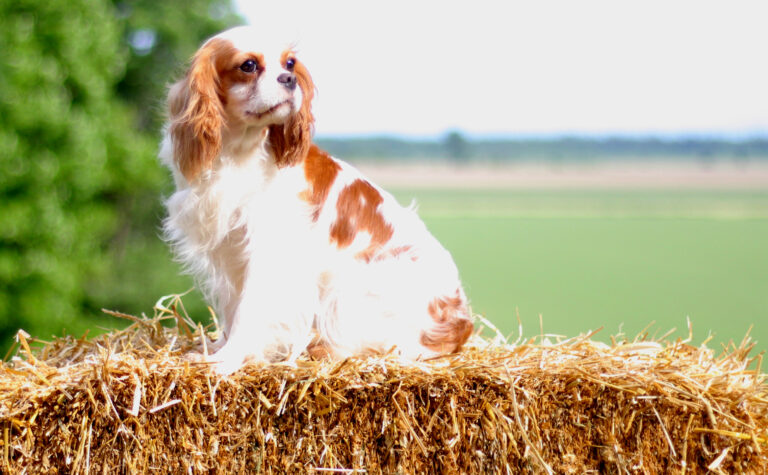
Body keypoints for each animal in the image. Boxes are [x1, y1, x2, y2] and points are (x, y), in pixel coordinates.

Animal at [160, 27, 474, 376]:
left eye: (290, 63)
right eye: (248, 65)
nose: (288, 78)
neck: (239, 151)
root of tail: (461, 322)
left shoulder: (268, 251)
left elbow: (248, 311)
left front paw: (227, 359)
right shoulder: (230, 253)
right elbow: (232, 309)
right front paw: (218, 349)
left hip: (353, 288)